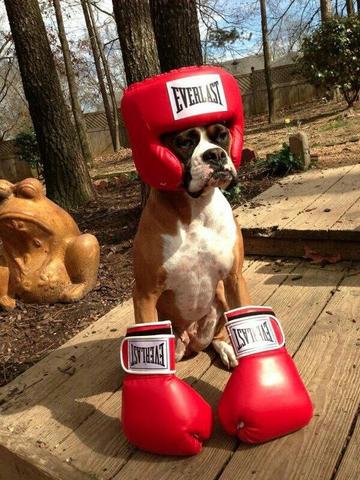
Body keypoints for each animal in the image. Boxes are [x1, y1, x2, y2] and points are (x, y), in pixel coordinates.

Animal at [131, 123, 250, 368]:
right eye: (184, 142)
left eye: (222, 135)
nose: (215, 154)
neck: (195, 209)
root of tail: (192, 340)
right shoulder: (144, 295)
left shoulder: (234, 278)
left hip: (223, 294)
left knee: (218, 335)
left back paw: (226, 348)